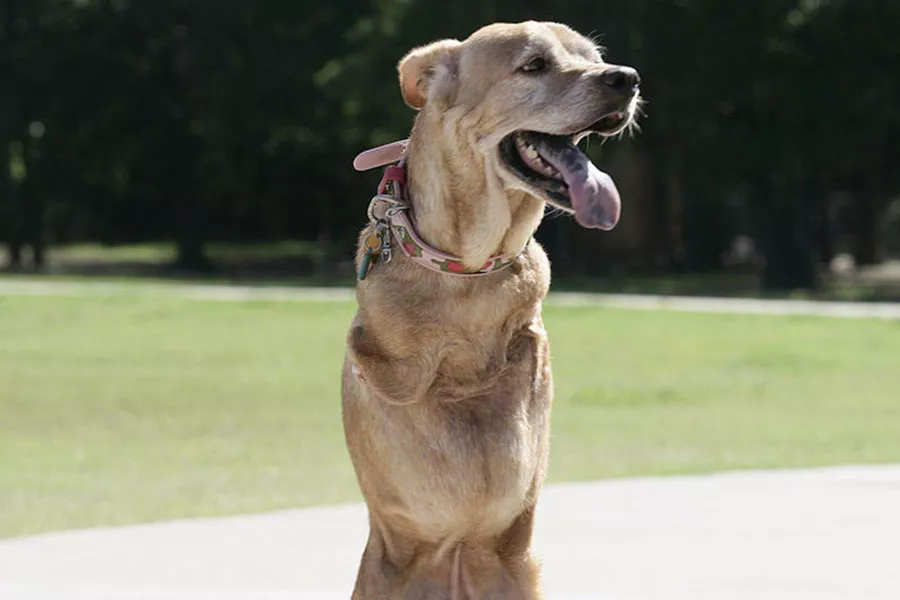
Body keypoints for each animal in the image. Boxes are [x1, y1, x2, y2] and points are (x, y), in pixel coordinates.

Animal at [340, 19, 640, 600]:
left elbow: (520, 358)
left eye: (594, 58)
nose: (627, 79)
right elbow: (394, 370)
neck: (470, 270)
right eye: (533, 65)